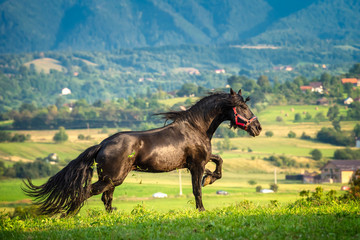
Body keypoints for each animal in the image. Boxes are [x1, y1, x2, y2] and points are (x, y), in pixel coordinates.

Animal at [23, 88, 262, 216]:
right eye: (243, 107)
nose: (258, 128)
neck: (196, 127)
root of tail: (102, 144)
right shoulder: (196, 164)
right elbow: (197, 190)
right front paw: (202, 207)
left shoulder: (200, 160)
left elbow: (219, 161)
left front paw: (210, 178)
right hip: (112, 178)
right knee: (87, 192)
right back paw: (68, 215)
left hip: (111, 179)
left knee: (106, 198)